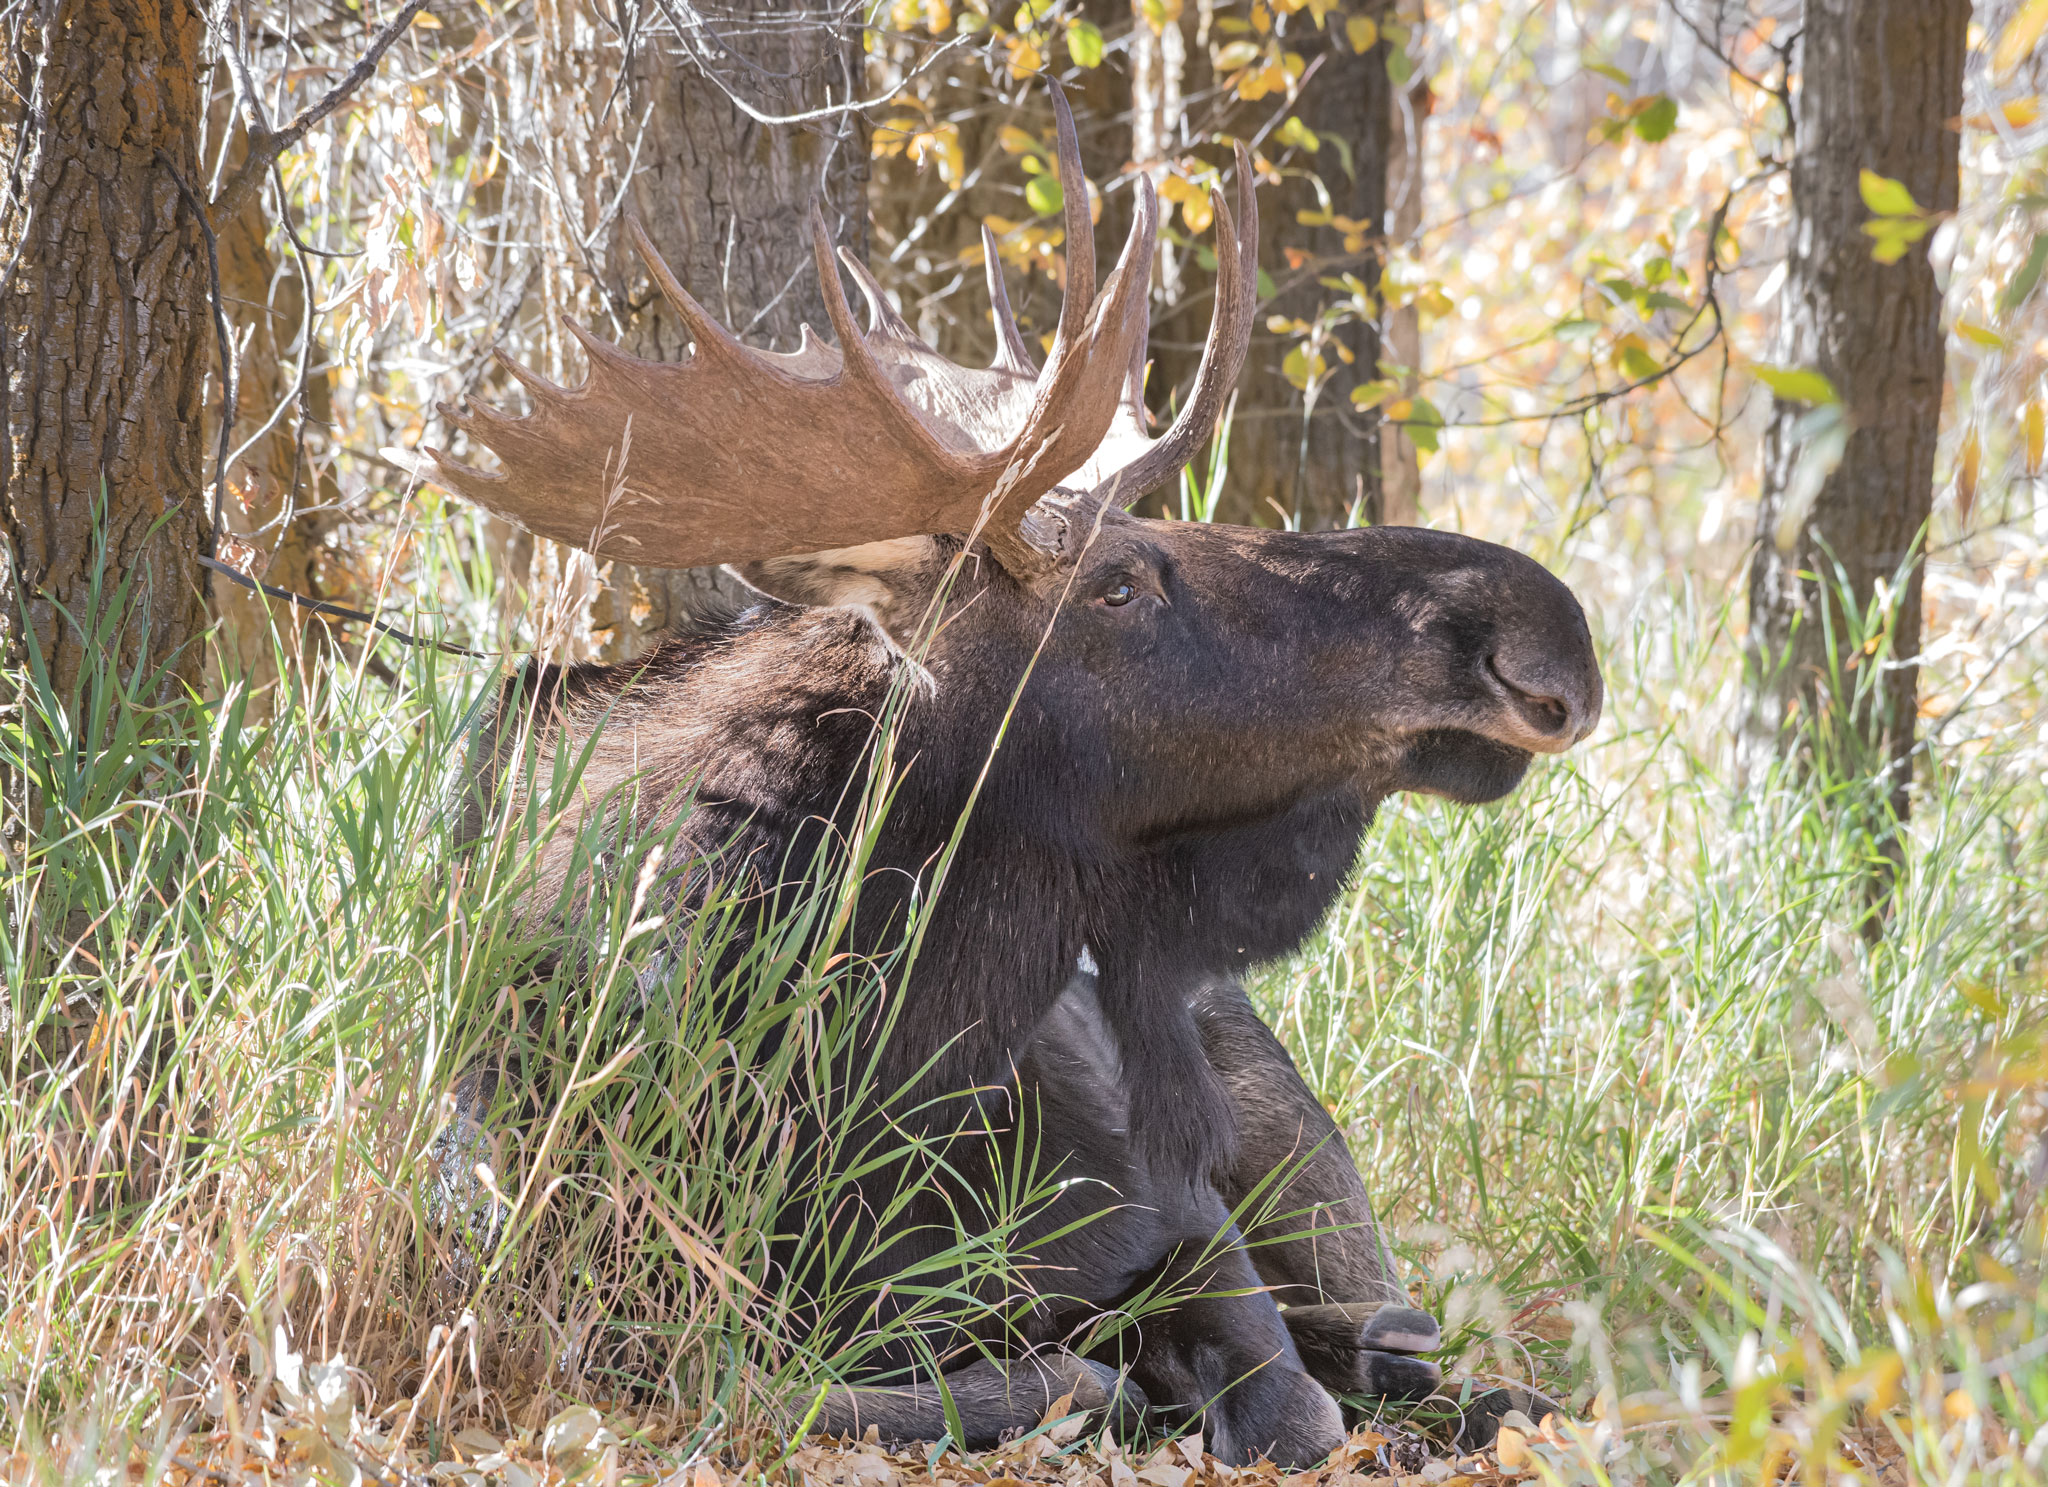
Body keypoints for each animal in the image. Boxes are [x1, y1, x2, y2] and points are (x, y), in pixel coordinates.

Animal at [427, 84, 1600, 1467]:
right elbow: (941, 1382)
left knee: (1425, 1339)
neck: (852, 1086)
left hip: (1299, 1147)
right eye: (1118, 582)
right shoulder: (604, 1310)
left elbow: (1281, 1398)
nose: (1538, 627)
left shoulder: (1182, 1214)